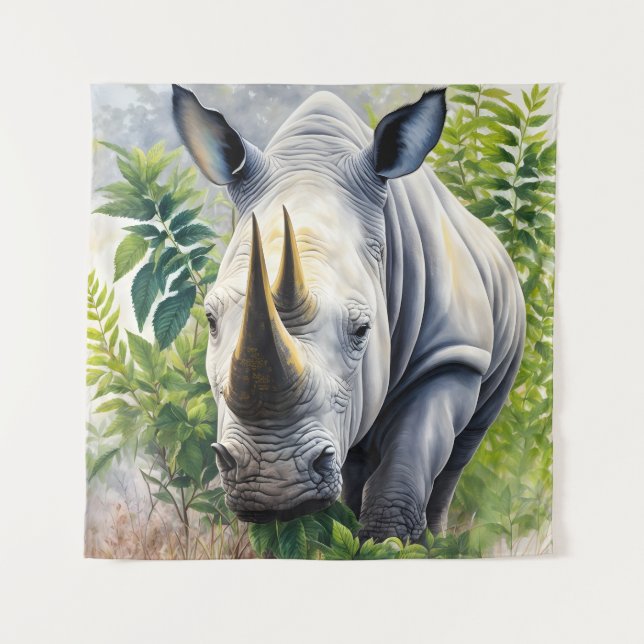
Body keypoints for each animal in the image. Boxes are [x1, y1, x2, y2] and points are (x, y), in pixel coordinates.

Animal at [172, 84, 526, 541]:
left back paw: (436, 538)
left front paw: (389, 542)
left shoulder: (451, 353)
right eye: (211, 321)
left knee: (461, 451)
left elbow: (409, 460)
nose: (274, 485)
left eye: (362, 330)